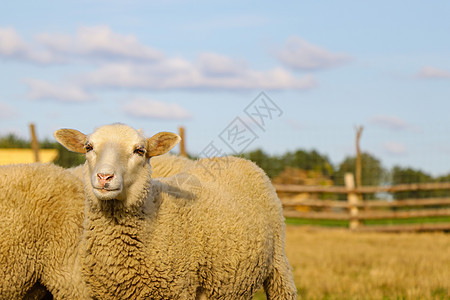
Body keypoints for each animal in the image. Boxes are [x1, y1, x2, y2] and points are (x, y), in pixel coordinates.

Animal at [54, 123, 298, 298]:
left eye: (139, 150)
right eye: (88, 147)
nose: (104, 177)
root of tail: (237, 158)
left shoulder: (178, 288)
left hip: (279, 263)